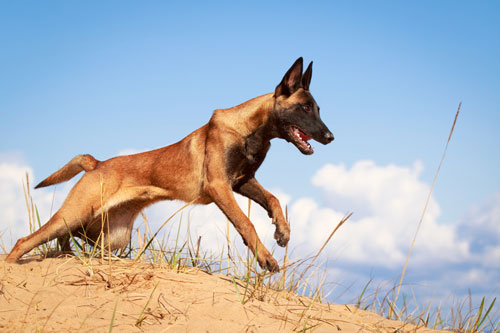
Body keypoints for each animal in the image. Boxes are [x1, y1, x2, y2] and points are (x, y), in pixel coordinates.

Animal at [5, 56, 334, 270]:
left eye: (318, 109)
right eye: (305, 108)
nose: (330, 137)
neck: (251, 130)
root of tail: (96, 163)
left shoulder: (242, 182)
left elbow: (274, 199)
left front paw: (283, 231)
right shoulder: (219, 187)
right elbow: (246, 222)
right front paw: (265, 256)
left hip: (105, 234)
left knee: (66, 239)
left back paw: (66, 257)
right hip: (75, 214)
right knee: (25, 241)